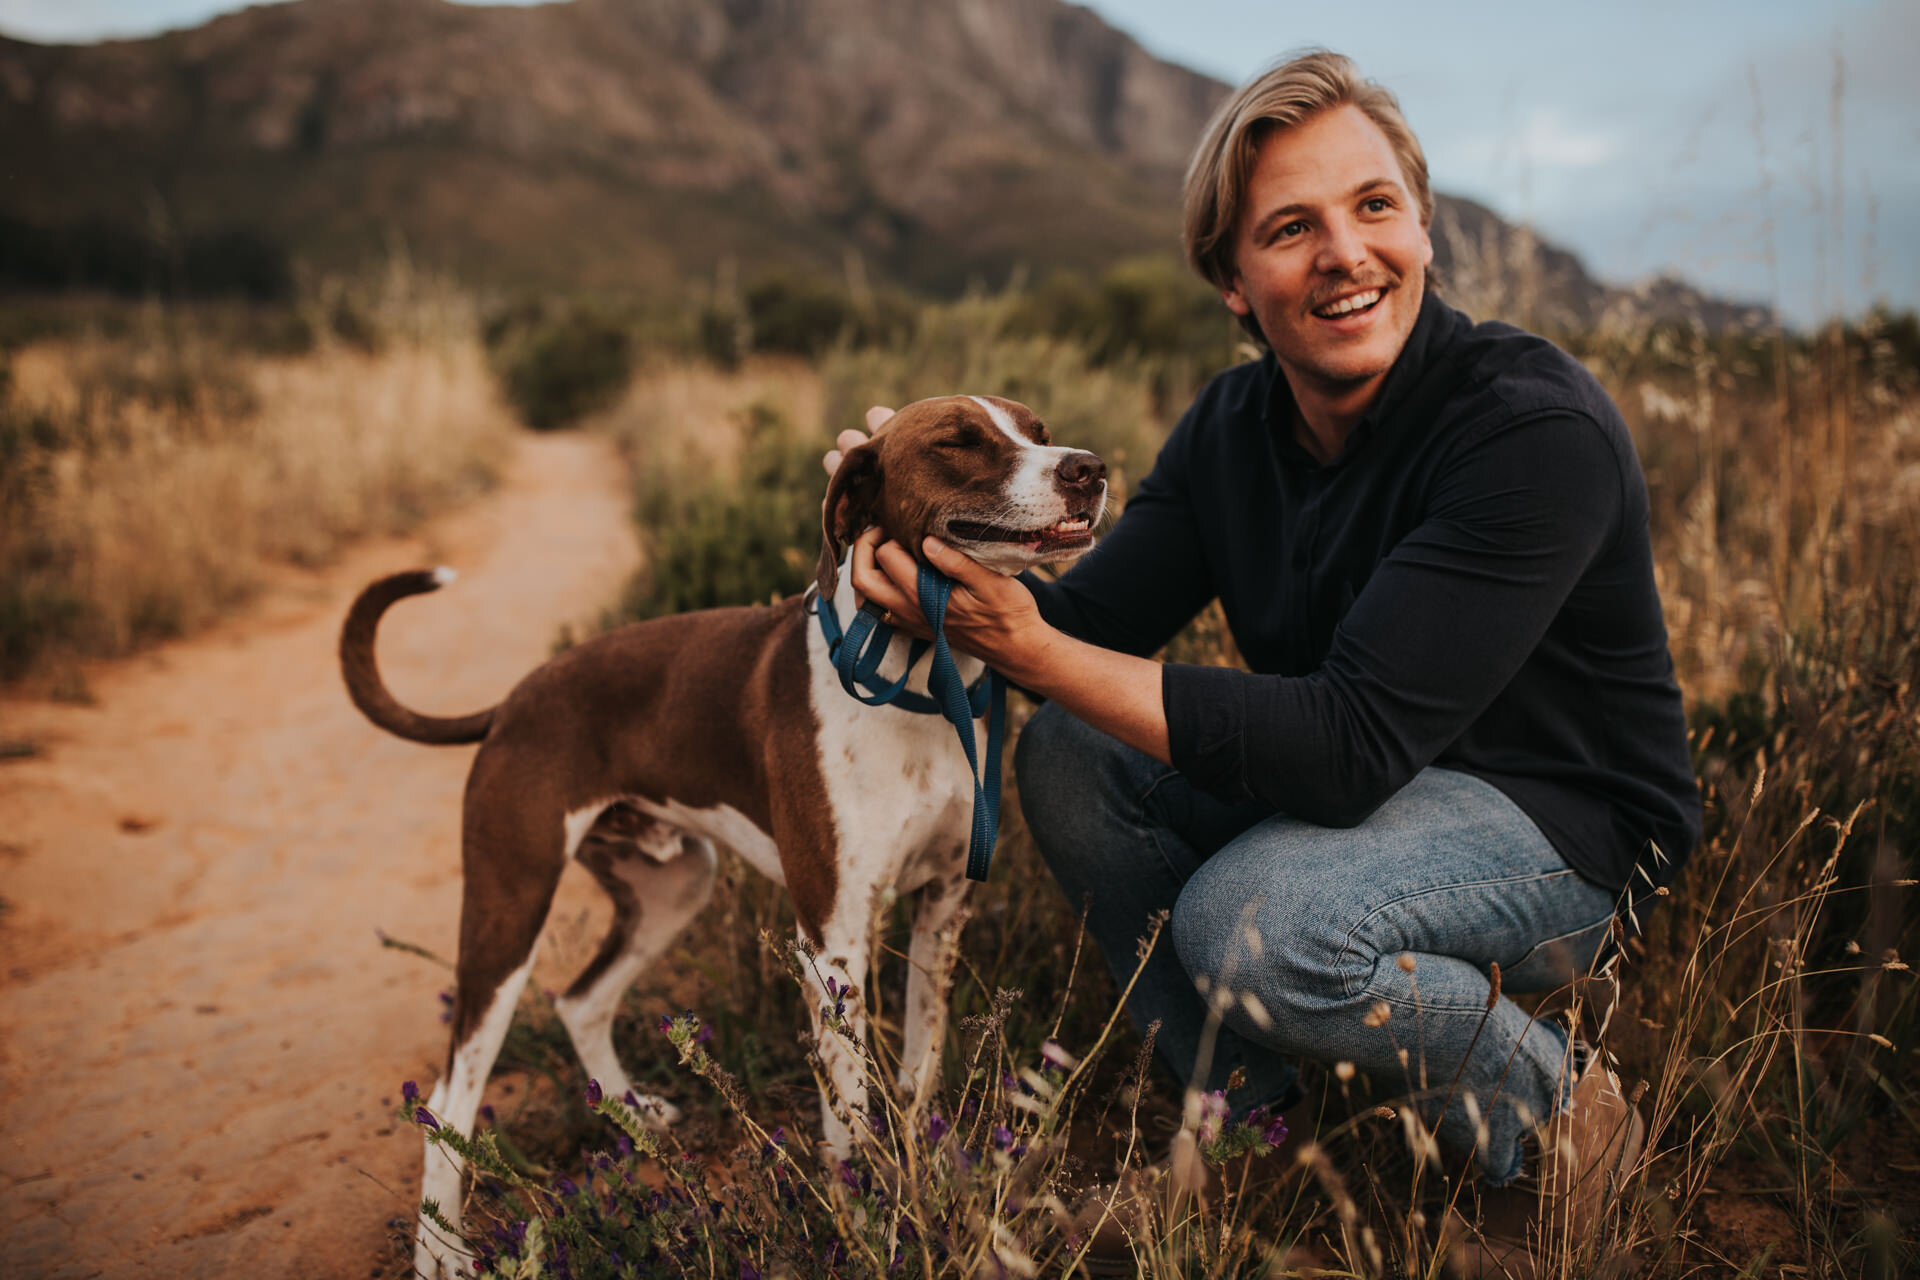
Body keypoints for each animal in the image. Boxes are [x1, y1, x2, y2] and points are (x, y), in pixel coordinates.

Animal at [337, 395, 1105, 1274]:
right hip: (510, 906)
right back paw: (443, 1252)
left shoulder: (943, 906)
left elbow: (917, 1073)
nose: (1089, 469)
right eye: (956, 442)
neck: (916, 679)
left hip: (673, 885)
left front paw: (919, 1174)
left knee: (581, 1000)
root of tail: (511, 702)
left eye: (1038, 433)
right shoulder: (832, 941)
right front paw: (866, 1223)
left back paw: (631, 1114)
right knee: (448, 1096)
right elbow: (850, 1111)